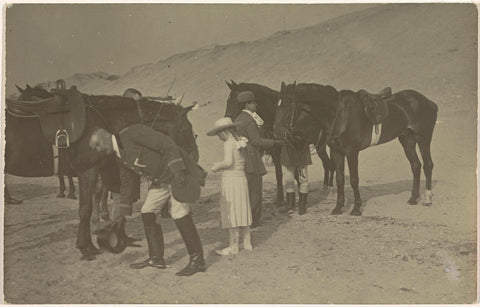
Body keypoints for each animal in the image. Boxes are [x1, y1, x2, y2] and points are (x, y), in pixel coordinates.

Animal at [7, 85, 199, 262]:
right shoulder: (88, 171)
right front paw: (86, 247)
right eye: (185, 128)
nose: (194, 155)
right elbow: (85, 209)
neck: (101, 123)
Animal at [274, 82, 436, 217]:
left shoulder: (352, 152)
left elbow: (353, 179)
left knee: (428, 165)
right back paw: (413, 198)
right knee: (416, 165)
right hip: (407, 140)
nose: (277, 134)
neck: (338, 114)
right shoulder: (336, 152)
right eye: (277, 107)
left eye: (287, 109)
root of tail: (429, 102)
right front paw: (338, 207)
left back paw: (427, 198)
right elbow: (339, 179)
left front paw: (356, 208)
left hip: (424, 139)